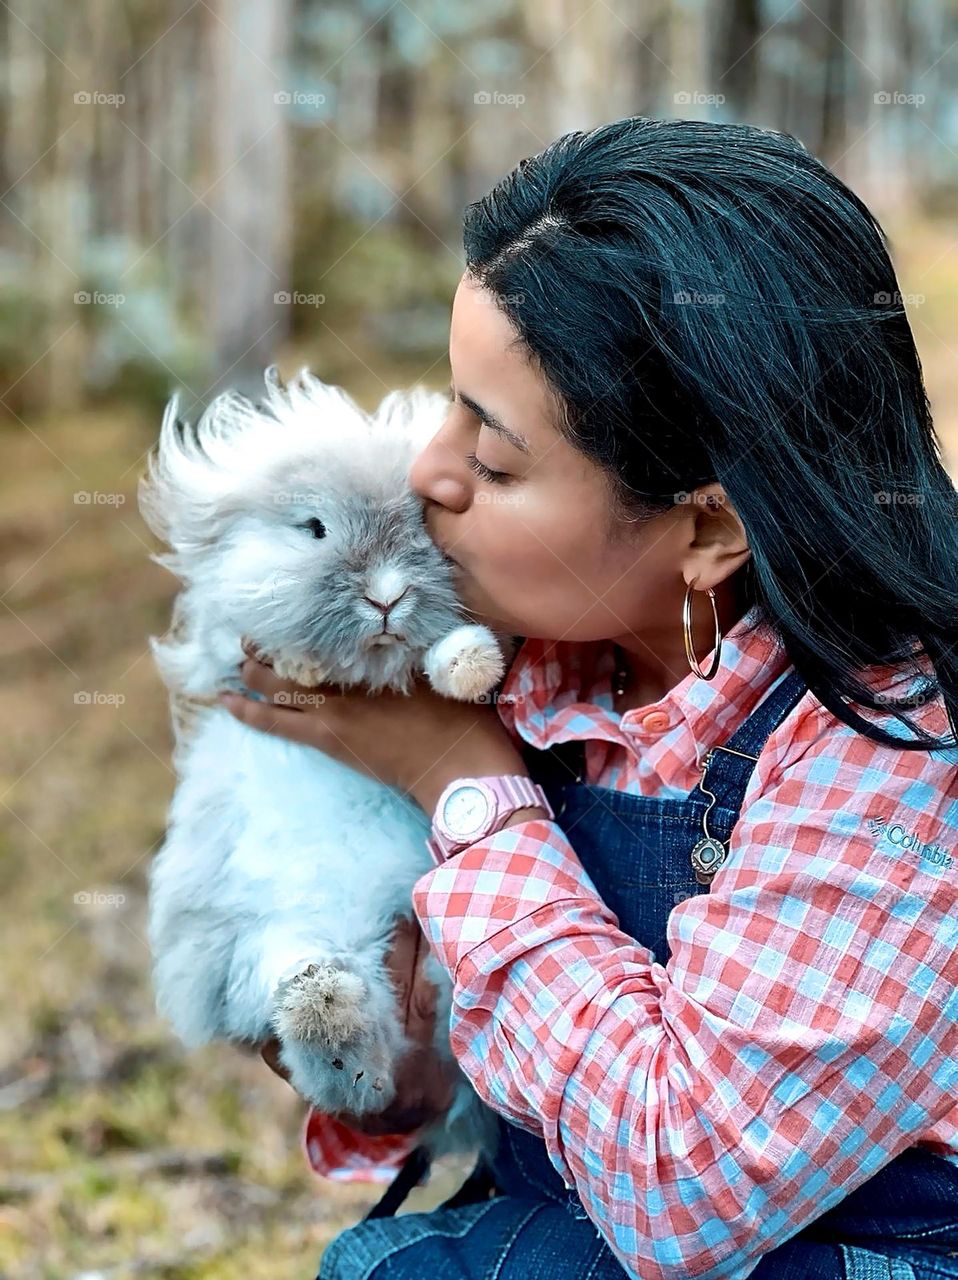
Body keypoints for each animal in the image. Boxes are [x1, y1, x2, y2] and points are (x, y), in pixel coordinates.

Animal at [140, 366, 509, 1157]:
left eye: (424, 526)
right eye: (313, 528)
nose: (387, 596)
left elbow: (450, 655)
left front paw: (469, 664)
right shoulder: (223, 651)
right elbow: (244, 642)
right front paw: (302, 664)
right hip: (271, 942)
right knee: (341, 1047)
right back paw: (330, 1018)